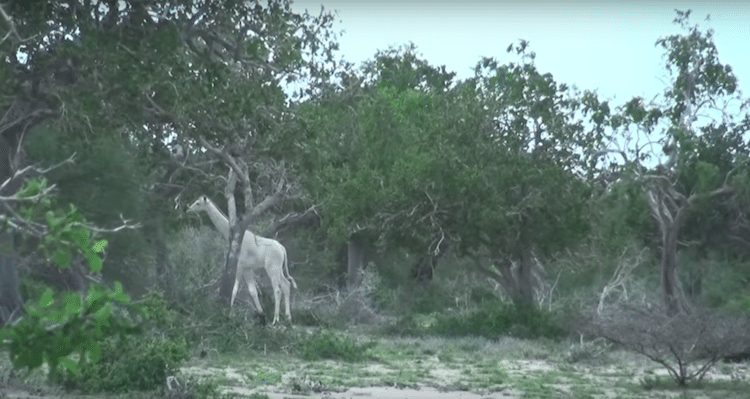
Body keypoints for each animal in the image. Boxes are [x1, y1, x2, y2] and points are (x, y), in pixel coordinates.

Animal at [187, 196, 298, 324]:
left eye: (198, 203)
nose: (188, 209)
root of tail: (282, 249)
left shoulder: (240, 264)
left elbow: (235, 289)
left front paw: (230, 313)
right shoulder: (247, 268)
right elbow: (252, 291)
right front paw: (261, 314)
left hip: (272, 268)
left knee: (277, 290)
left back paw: (276, 319)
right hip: (279, 268)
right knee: (286, 285)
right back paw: (288, 318)